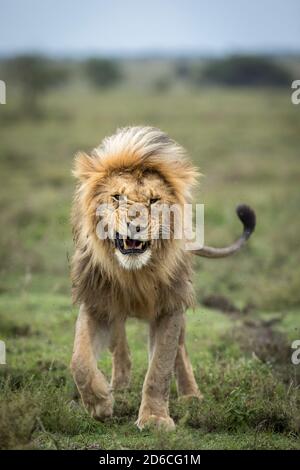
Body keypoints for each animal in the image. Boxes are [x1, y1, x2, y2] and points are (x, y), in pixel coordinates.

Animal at [71, 126, 255, 430]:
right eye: (117, 198)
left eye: (154, 200)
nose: (135, 225)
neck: (134, 273)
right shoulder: (96, 302)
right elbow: (80, 362)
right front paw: (100, 404)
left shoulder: (170, 307)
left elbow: (160, 368)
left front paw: (155, 418)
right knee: (118, 339)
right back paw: (119, 384)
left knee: (180, 350)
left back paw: (191, 395)